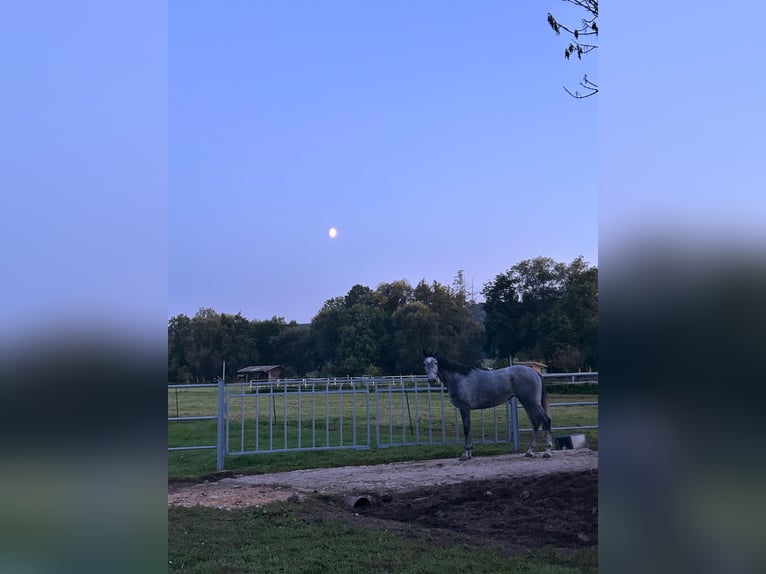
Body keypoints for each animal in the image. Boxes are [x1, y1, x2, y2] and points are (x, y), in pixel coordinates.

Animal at [423, 351, 552, 460]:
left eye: (436, 363)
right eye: (424, 363)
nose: (432, 380)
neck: (460, 379)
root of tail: (535, 372)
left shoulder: (464, 408)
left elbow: (466, 429)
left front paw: (465, 454)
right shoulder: (466, 409)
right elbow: (468, 429)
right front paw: (470, 453)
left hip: (532, 402)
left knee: (546, 420)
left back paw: (547, 451)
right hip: (527, 402)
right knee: (535, 422)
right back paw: (529, 451)